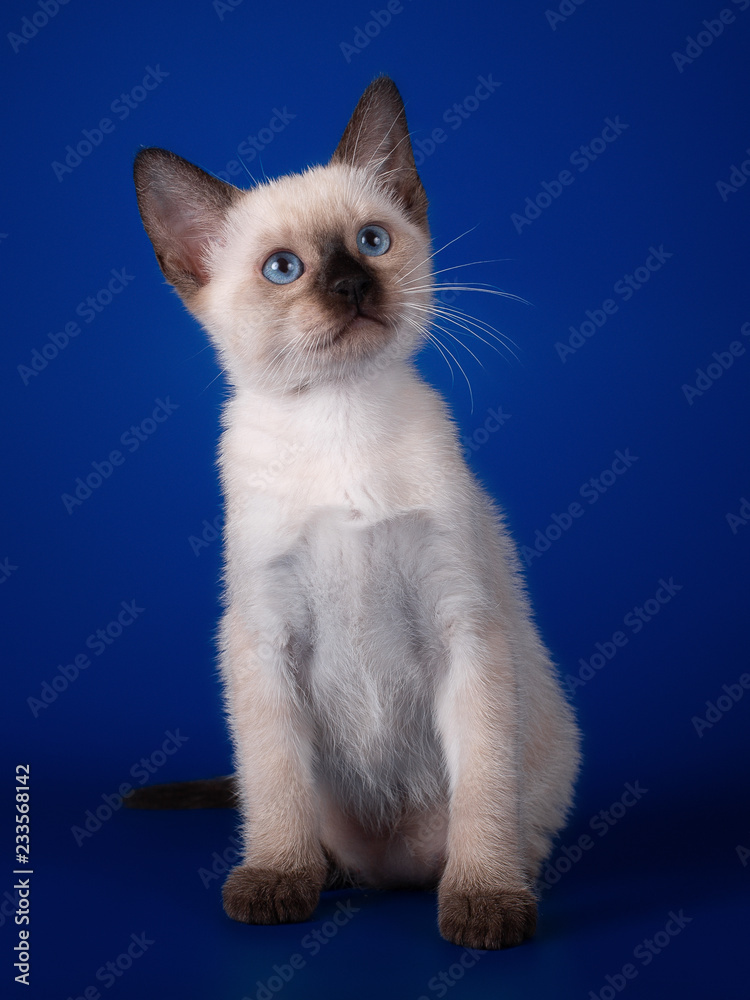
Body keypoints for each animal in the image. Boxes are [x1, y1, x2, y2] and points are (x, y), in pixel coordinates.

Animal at [134, 76, 580, 944]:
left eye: (372, 243)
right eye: (283, 269)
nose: (350, 286)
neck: (338, 417)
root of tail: (391, 870)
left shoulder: (464, 626)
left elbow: (482, 795)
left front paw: (483, 901)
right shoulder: (263, 636)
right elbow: (274, 788)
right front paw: (276, 881)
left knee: (501, 825)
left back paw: (488, 880)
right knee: (303, 821)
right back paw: (323, 872)